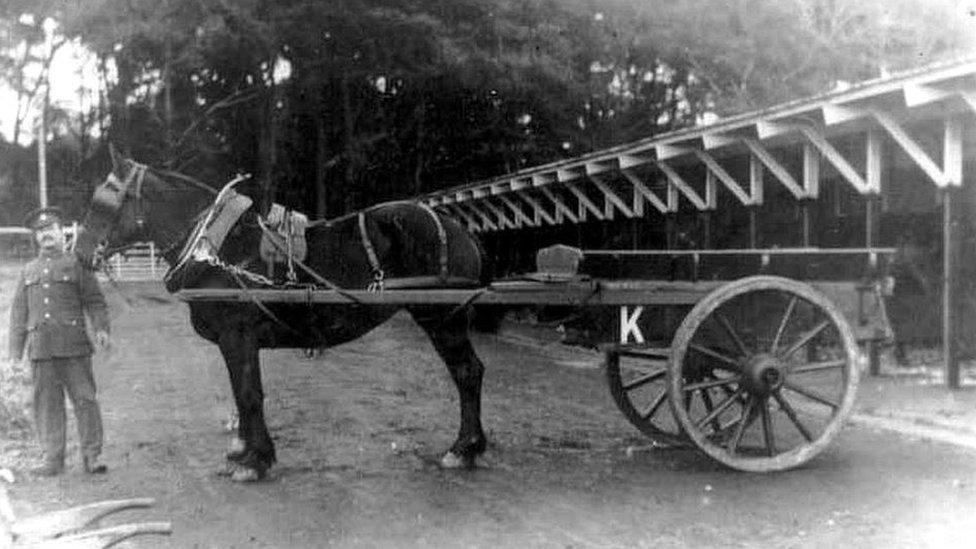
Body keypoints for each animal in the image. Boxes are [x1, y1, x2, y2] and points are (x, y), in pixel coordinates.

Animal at [73, 148, 488, 482]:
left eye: (103, 203)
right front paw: (244, 452)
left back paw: (464, 448)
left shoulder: (237, 336)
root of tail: (457, 227)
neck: (216, 247)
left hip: (443, 319)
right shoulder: (233, 342)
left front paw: (255, 462)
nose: (79, 255)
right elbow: (241, 393)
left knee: (467, 372)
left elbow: (249, 394)